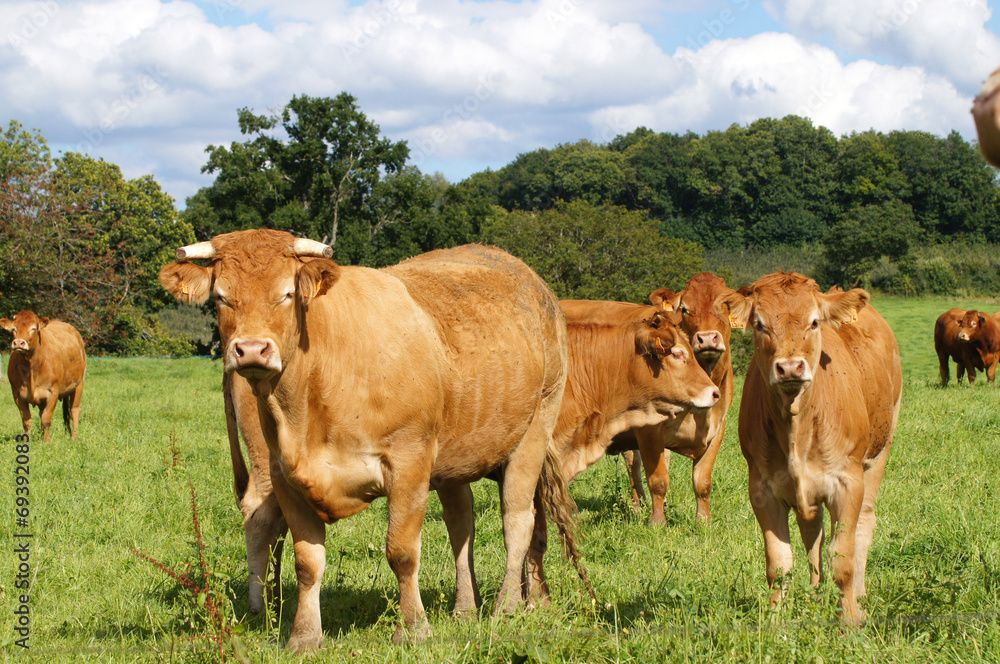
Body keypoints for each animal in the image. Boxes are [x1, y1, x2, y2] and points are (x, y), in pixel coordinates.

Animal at [0, 310, 86, 440]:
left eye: (33, 328)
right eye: (14, 329)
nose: (19, 343)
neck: (31, 367)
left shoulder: (53, 391)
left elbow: (46, 419)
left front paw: (47, 441)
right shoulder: (17, 394)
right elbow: (27, 421)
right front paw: (27, 440)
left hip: (79, 383)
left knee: (74, 410)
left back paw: (74, 437)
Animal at [157, 231, 584, 652]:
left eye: (287, 293)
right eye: (221, 296)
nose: (250, 350)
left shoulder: (409, 463)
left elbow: (402, 553)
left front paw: (413, 629)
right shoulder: (285, 475)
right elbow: (307, 562)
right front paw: (304, 636)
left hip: (534, 427)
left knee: (517, 519)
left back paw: (506, 607)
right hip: (453, 453)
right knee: (462, 525)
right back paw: (465, 608)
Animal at [716, 272, 904, 624]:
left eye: (814, 322)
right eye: (759, 324)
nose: (790, 367)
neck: (797, 430)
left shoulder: (847, 482)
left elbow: (842, 560)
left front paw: (849, 621)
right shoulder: (762, 488)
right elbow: (779, 564)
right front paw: (774, 622)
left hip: (880, 452)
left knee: (864, 525)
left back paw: (859, 597)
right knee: (812, 534)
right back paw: (817, 597)